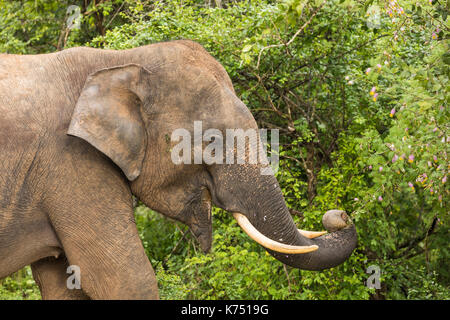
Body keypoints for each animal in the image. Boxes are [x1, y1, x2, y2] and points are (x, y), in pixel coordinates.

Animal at [0, 40, 358, 300]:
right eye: (211, 140)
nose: (338, 215)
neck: (120, 61)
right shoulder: (71, 163)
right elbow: (128, 280)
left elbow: (65, 285)